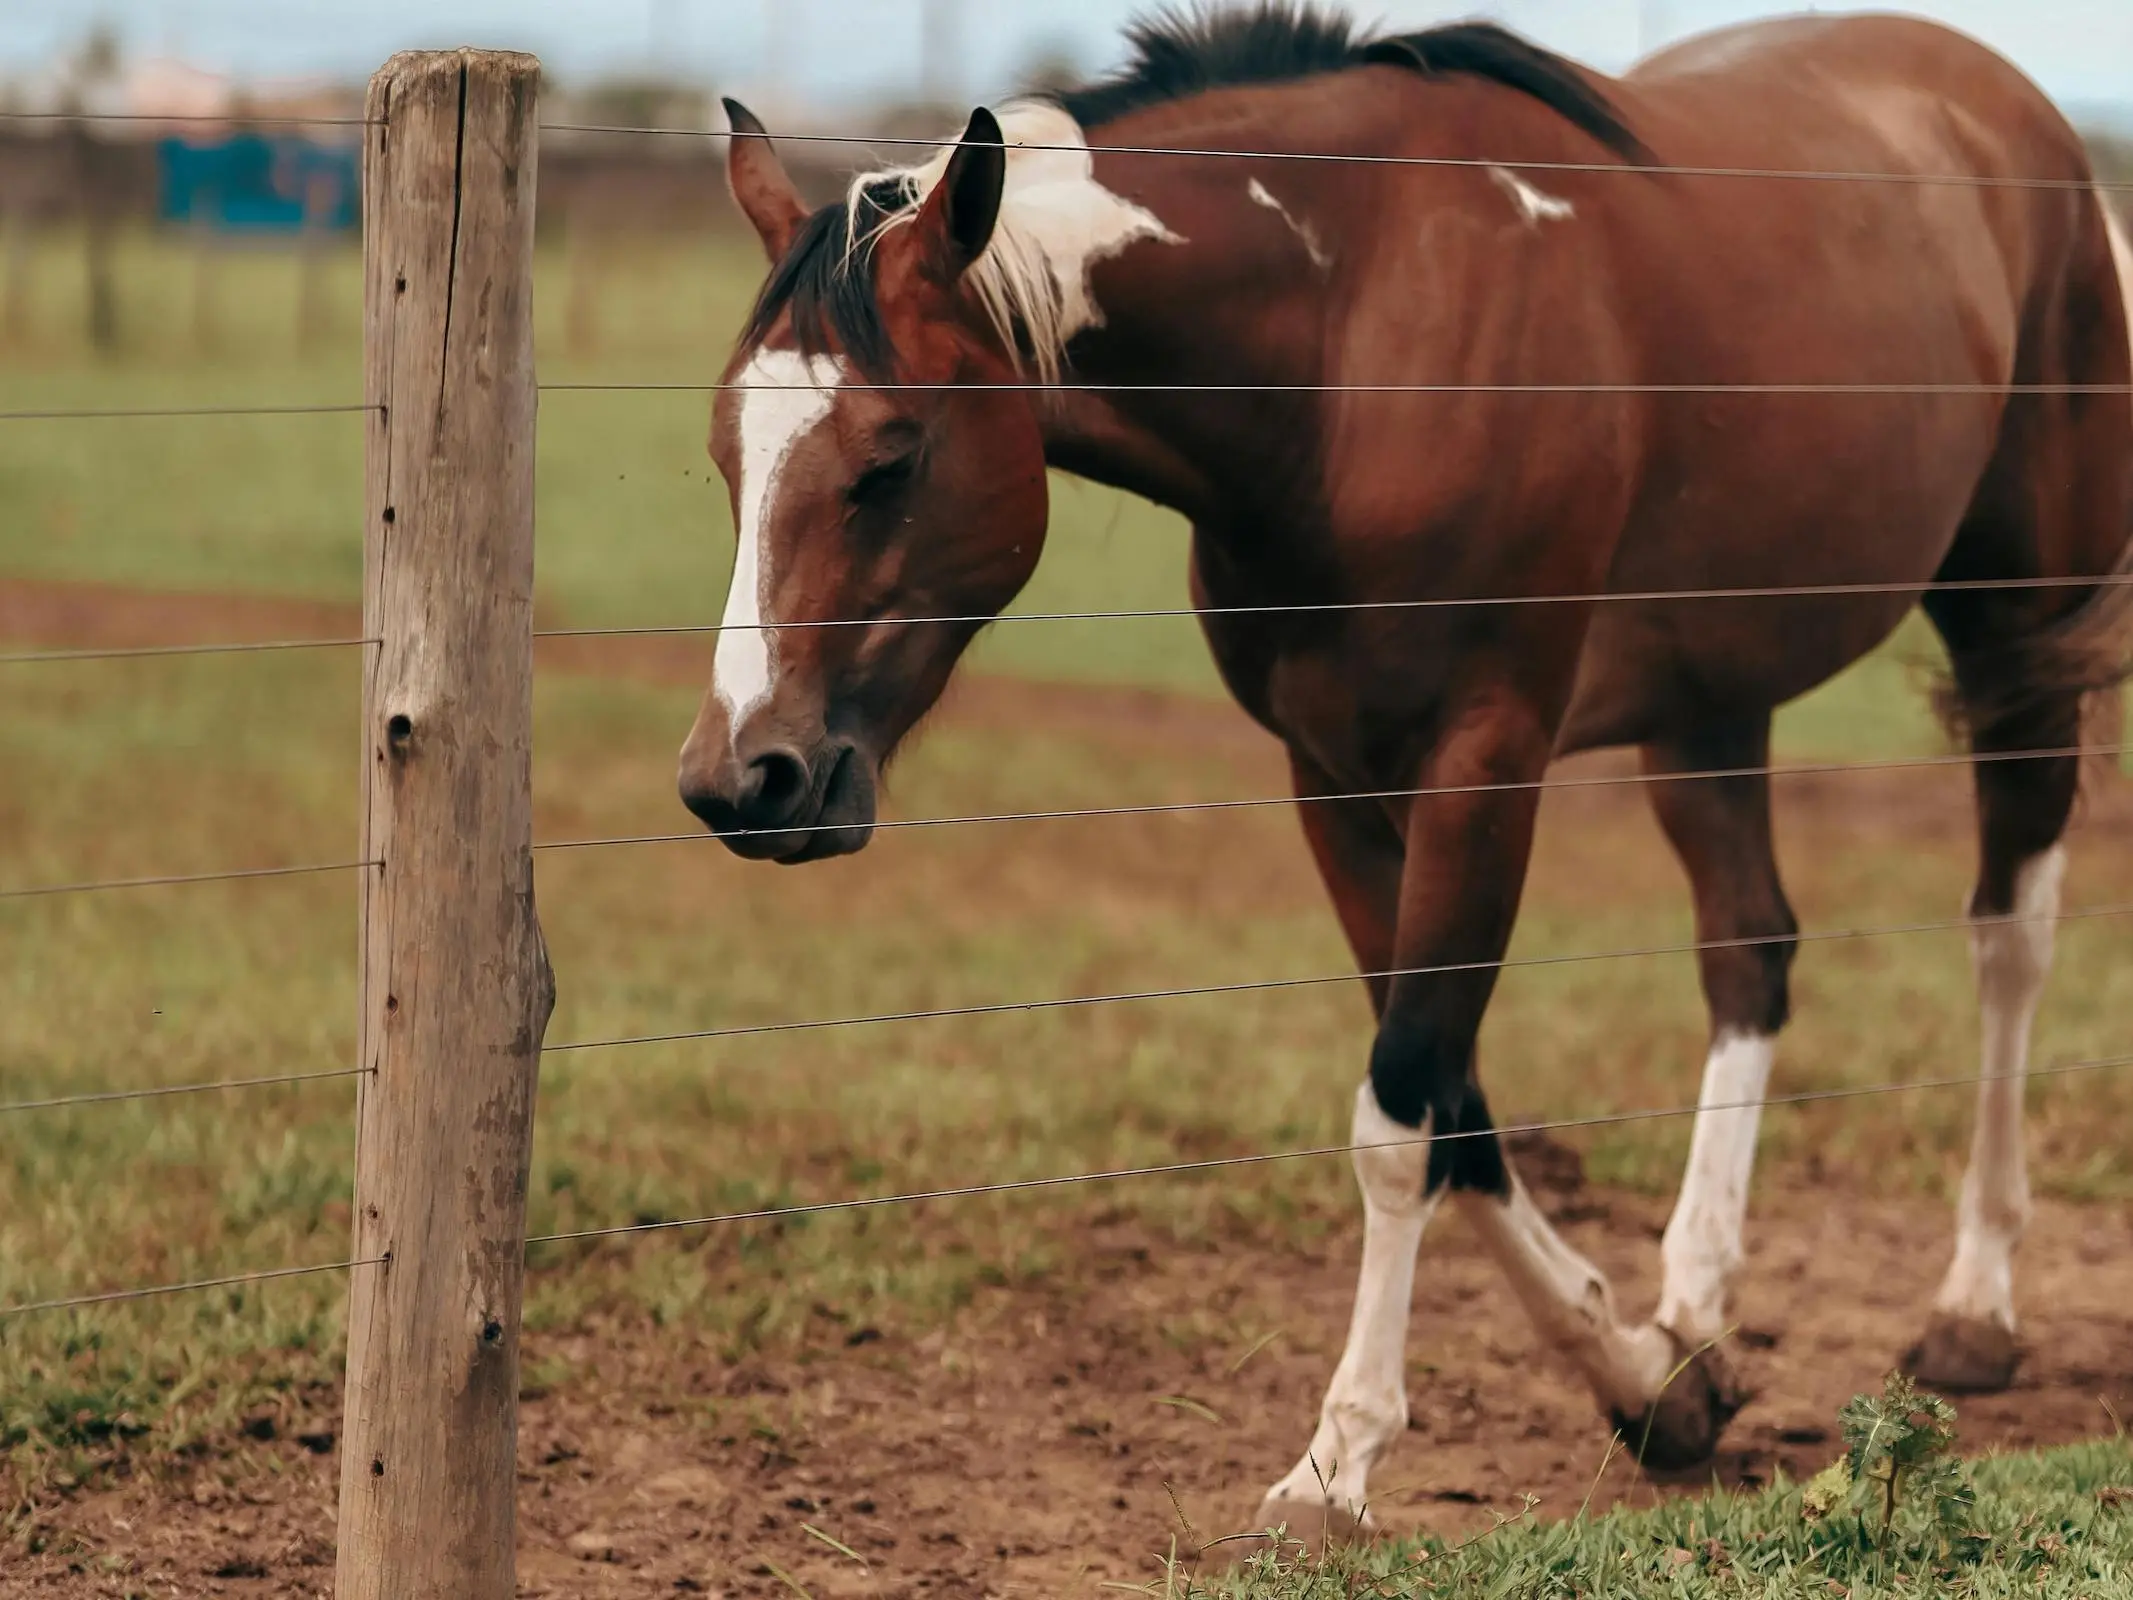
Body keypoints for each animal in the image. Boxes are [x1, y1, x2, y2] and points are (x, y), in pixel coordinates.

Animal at [678, 3, 2133, 1544]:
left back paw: (1974, 1307)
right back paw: (1695, 1307)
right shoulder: (1332, 776)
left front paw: (1336, 1463)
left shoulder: (1483, 767)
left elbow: (1403, 1107)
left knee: (2010, 936)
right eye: (726, 451)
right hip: (1708, 703)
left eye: (889, 460)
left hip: (2017, 626)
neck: (1354, 335)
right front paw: (1650, 1384)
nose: (743, 778)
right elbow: (1455, 1104)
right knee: (1751, 951)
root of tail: (2010, 114)